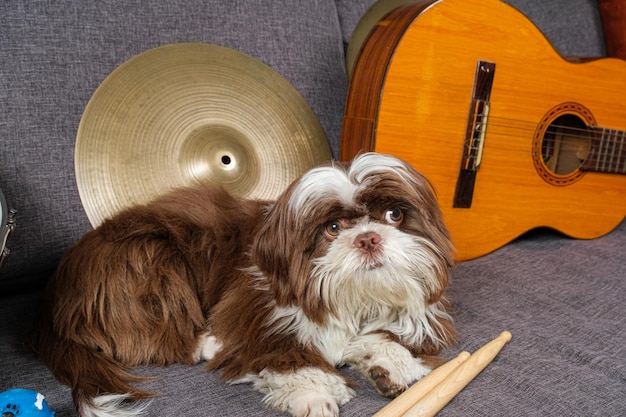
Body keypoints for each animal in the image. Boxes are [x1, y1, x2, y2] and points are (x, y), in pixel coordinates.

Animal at [29, 153, 456, 416]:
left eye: (394, 214)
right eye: (333, 228)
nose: (368, 238)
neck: (353, 298)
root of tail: (50, 301)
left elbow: (387, 336)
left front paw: (390, 364)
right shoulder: (256, 308)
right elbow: (288, 355)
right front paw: (315, 394)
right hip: (150, 258)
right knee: (150, 341)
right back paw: (207, 343)